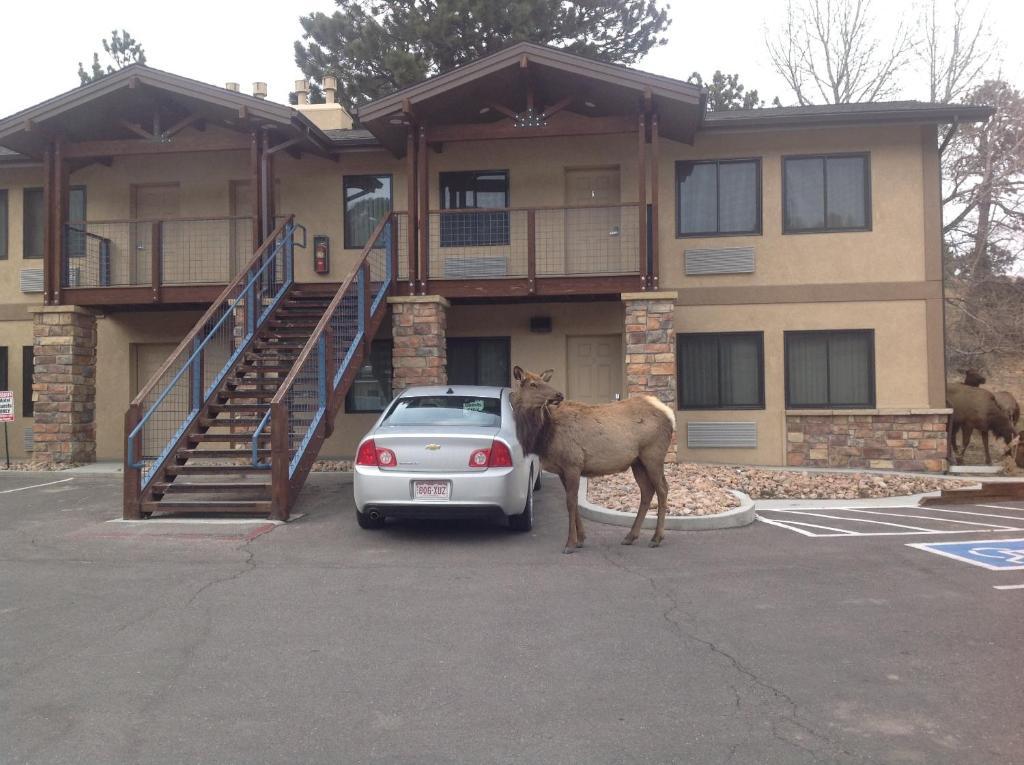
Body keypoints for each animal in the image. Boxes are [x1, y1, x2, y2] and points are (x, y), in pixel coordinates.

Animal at [507, 368, 675, 553]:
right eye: (532, 384)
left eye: (544, 381)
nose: (558, 394)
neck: (545, 436)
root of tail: (669, 414)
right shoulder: (563, 470)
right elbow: (573, 501)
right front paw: (581, 539)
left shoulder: (573, 463)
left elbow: (570, 503)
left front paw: (570, 543)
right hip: (637, 461)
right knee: (647, 491)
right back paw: (631, 536)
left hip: (653, 454)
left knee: (663, 489)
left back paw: (656, 538)